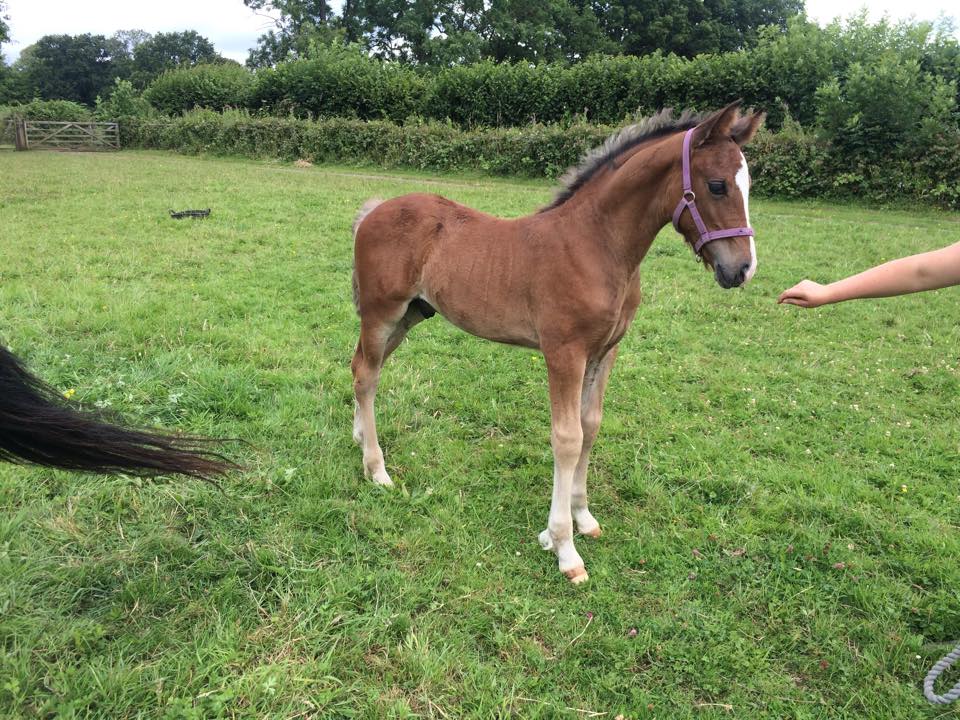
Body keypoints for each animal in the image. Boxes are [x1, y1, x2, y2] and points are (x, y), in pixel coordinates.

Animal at [352, 101, 764, 584]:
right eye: (717, 185)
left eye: (748, 186)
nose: (742, 269)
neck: (596, 244)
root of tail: (375, 209)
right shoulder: (564, 353)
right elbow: (566, 438)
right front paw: (563, 546)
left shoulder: (605, 352)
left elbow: (591, 426)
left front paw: (582, 517)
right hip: (383, 313)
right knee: (366, 374)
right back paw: (377, 470)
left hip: (411, 314)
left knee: (364, 368)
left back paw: (360, 439)